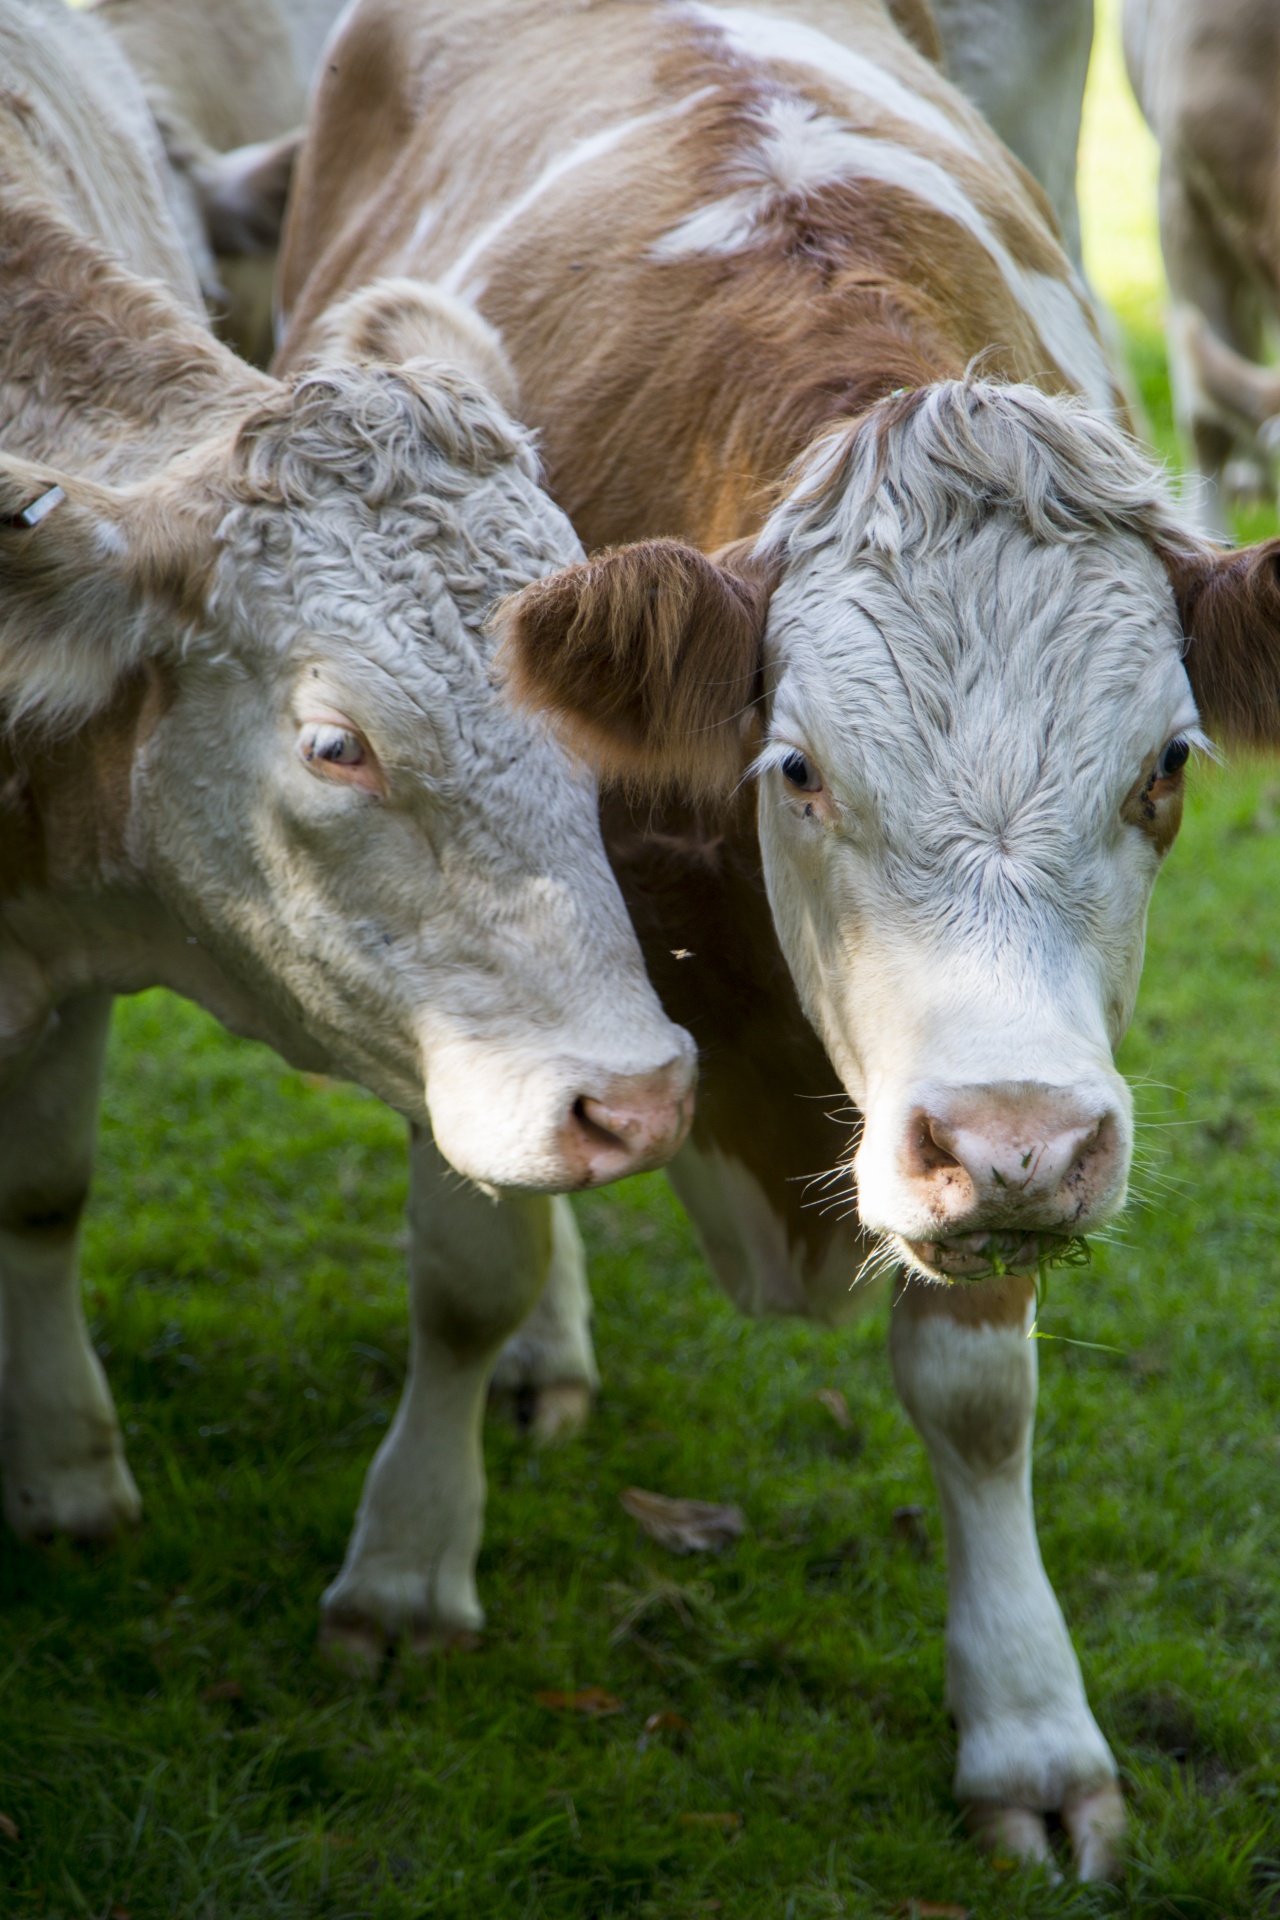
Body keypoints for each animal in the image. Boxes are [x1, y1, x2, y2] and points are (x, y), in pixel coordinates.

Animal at [278, 0, 1280, 1873]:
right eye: (798, 770)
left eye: (1166, 769)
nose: (1016, 1147)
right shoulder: (461, 942)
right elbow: (465, 1272)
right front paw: (404, 1570)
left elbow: (976, 1392)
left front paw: (1032, 1732)